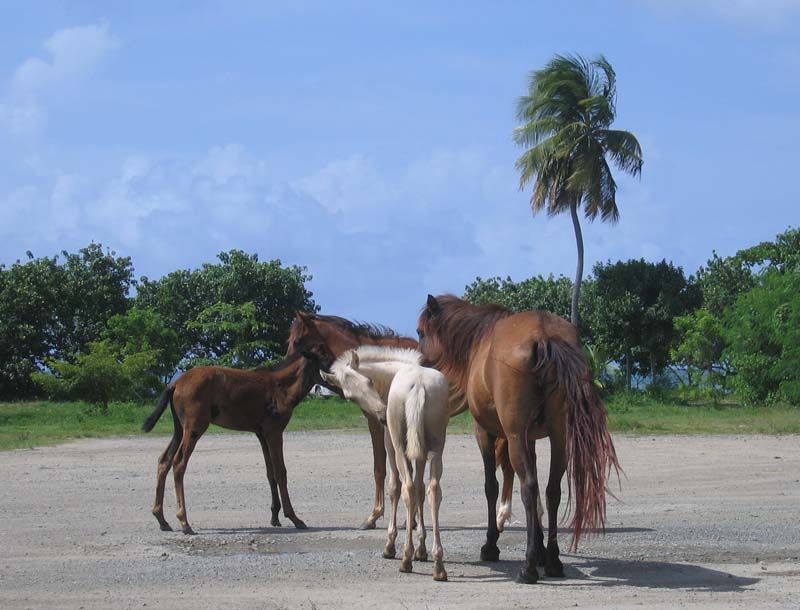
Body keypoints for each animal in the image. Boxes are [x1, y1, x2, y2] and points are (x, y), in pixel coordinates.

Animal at [142, 328, 332, 532]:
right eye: (324, 358)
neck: (282, 387)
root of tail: (175, 383)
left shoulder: (262, 434)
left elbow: (270, 473)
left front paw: (275, 516)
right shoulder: (274, 432)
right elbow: (281, 472)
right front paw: (294, 518)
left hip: (179, 428)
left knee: (164, 461)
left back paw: (161, 518)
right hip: (194, 427)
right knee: (179, 463)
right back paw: (184, 521)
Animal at [416, 292, 620, 580]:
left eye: (420, 332)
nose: (419, 362)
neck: (481, 340)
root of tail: (545, 336)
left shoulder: (486, 434)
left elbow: (492, 487)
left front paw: (491, 544)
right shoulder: (531, 439)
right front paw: (543, 549)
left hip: (514, 438)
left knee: (529, 488)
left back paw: (529, 566)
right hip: (558, 438)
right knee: (551, 491)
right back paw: (553, 561)